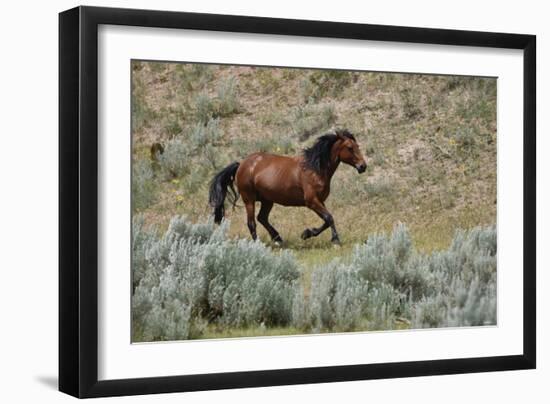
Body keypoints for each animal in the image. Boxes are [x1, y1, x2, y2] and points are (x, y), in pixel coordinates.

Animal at [209, 129, 368, 245]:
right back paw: (258, 244)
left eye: (358, 146)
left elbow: (327, 220)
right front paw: (335, 240)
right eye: (350, 148)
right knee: (252, 222)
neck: (315, 169)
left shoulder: (319, 201)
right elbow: (329, 218)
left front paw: (306, 233)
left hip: (267, 200)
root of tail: (241, 164)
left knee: (262, 218)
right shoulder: (311, 201)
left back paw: (278, 239)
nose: (363, 166)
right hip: (249, 199)